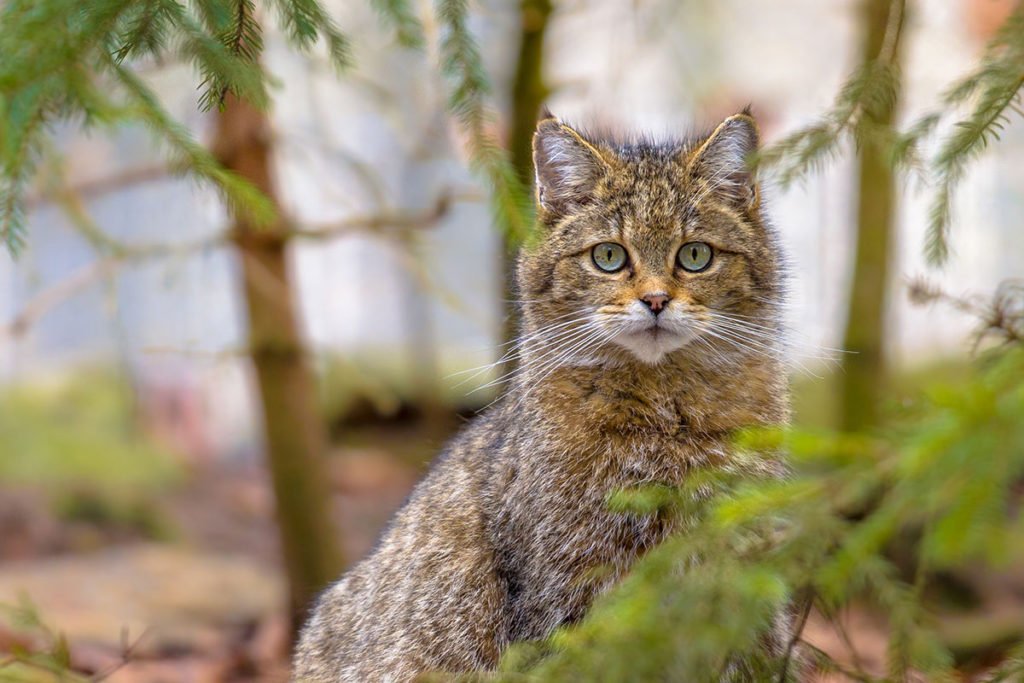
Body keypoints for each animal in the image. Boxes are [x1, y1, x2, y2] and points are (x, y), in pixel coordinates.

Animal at [296, 109, 790, 679]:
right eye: (608, 256)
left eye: (695, 255)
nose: (655, 300)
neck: (667, 414)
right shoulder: (569, 588)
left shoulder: (743, 584)